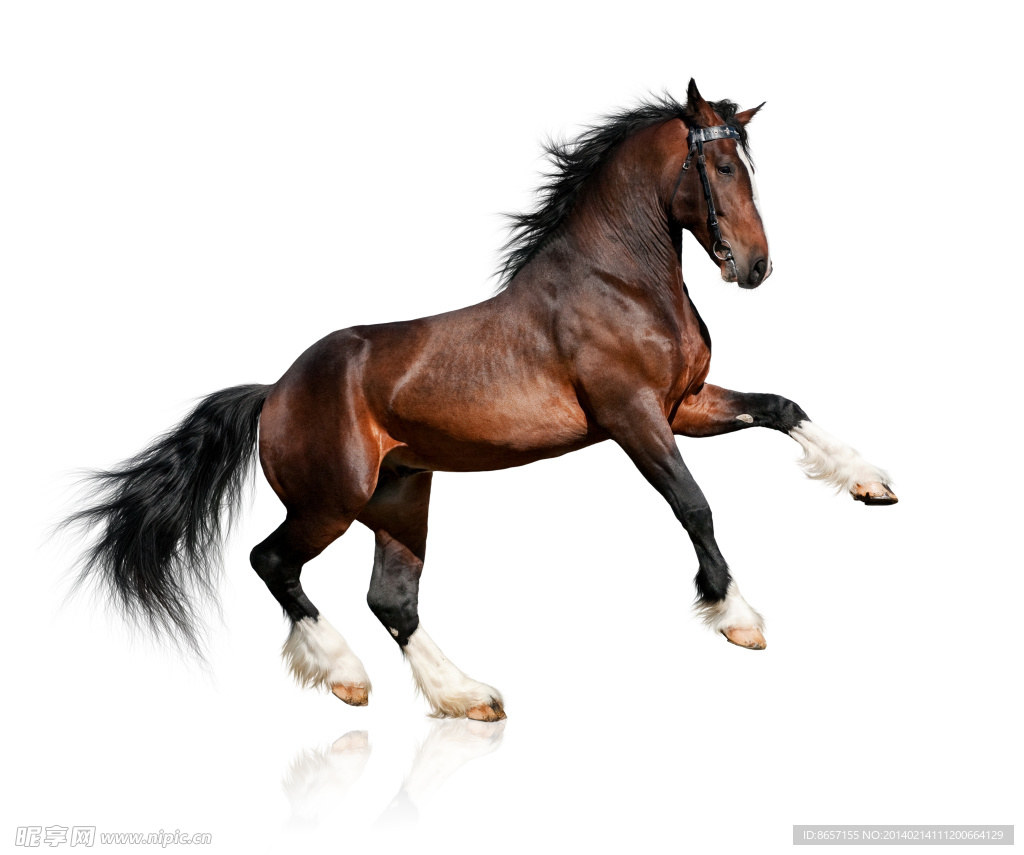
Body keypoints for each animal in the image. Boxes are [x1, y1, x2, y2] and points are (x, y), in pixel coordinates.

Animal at [65, 79, 897, 722]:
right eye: (720, 164)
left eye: (749, 166)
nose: (753, 266)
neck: (620, 282)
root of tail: (274, 391)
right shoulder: (634, 416)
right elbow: (694, 505)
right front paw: (738, 618)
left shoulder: (683, 404)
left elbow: (782, 407)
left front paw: (871, 483)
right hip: (330, 501)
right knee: (272, 561)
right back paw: (345, 675)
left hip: (401, 497)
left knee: (392, 600)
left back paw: (464, 695)